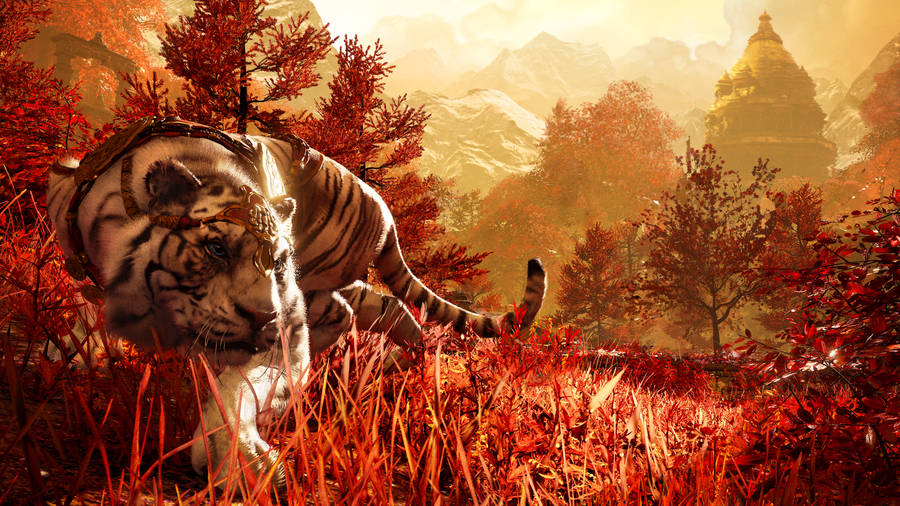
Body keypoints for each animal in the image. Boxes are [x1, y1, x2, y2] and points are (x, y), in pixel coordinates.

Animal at [46, 116, 546, 489]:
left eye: (277, 261)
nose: (265, 316)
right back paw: (402, 363)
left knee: (351, 316)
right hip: (332, 287)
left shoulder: (278, 329)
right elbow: (80, 324)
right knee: (390, 309)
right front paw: (62, 359)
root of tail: (382, 207)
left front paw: (240, 462)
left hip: (320, 285)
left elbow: (238, 390)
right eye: (216, 249)